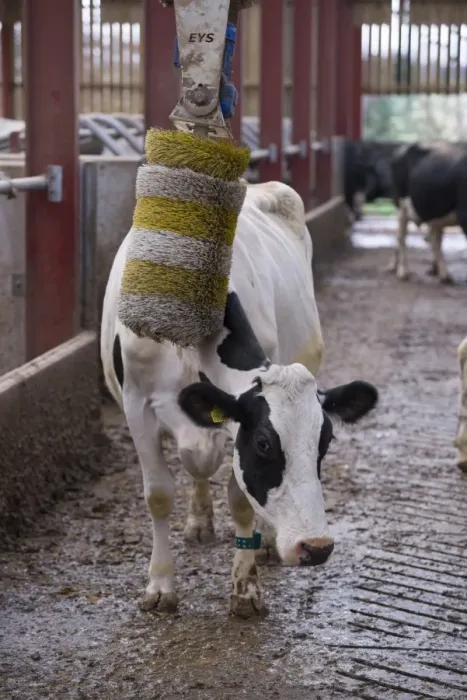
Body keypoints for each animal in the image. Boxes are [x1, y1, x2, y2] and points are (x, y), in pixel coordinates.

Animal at [101, 181, 378, 619]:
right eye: (263, 443)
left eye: (326, 441)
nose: (315, 548)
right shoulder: (136, 405)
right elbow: (158, 495)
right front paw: (160, 585)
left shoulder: (232, 425)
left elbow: (241, 501)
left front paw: (246, 589)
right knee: (196, 465)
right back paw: (199, 522)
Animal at [388, 141, 467, 283]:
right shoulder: (464, 214)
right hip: (402, 206)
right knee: (402, 237)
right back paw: (403, 271)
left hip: (435, 213)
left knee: (435, 239)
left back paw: (441, 273)